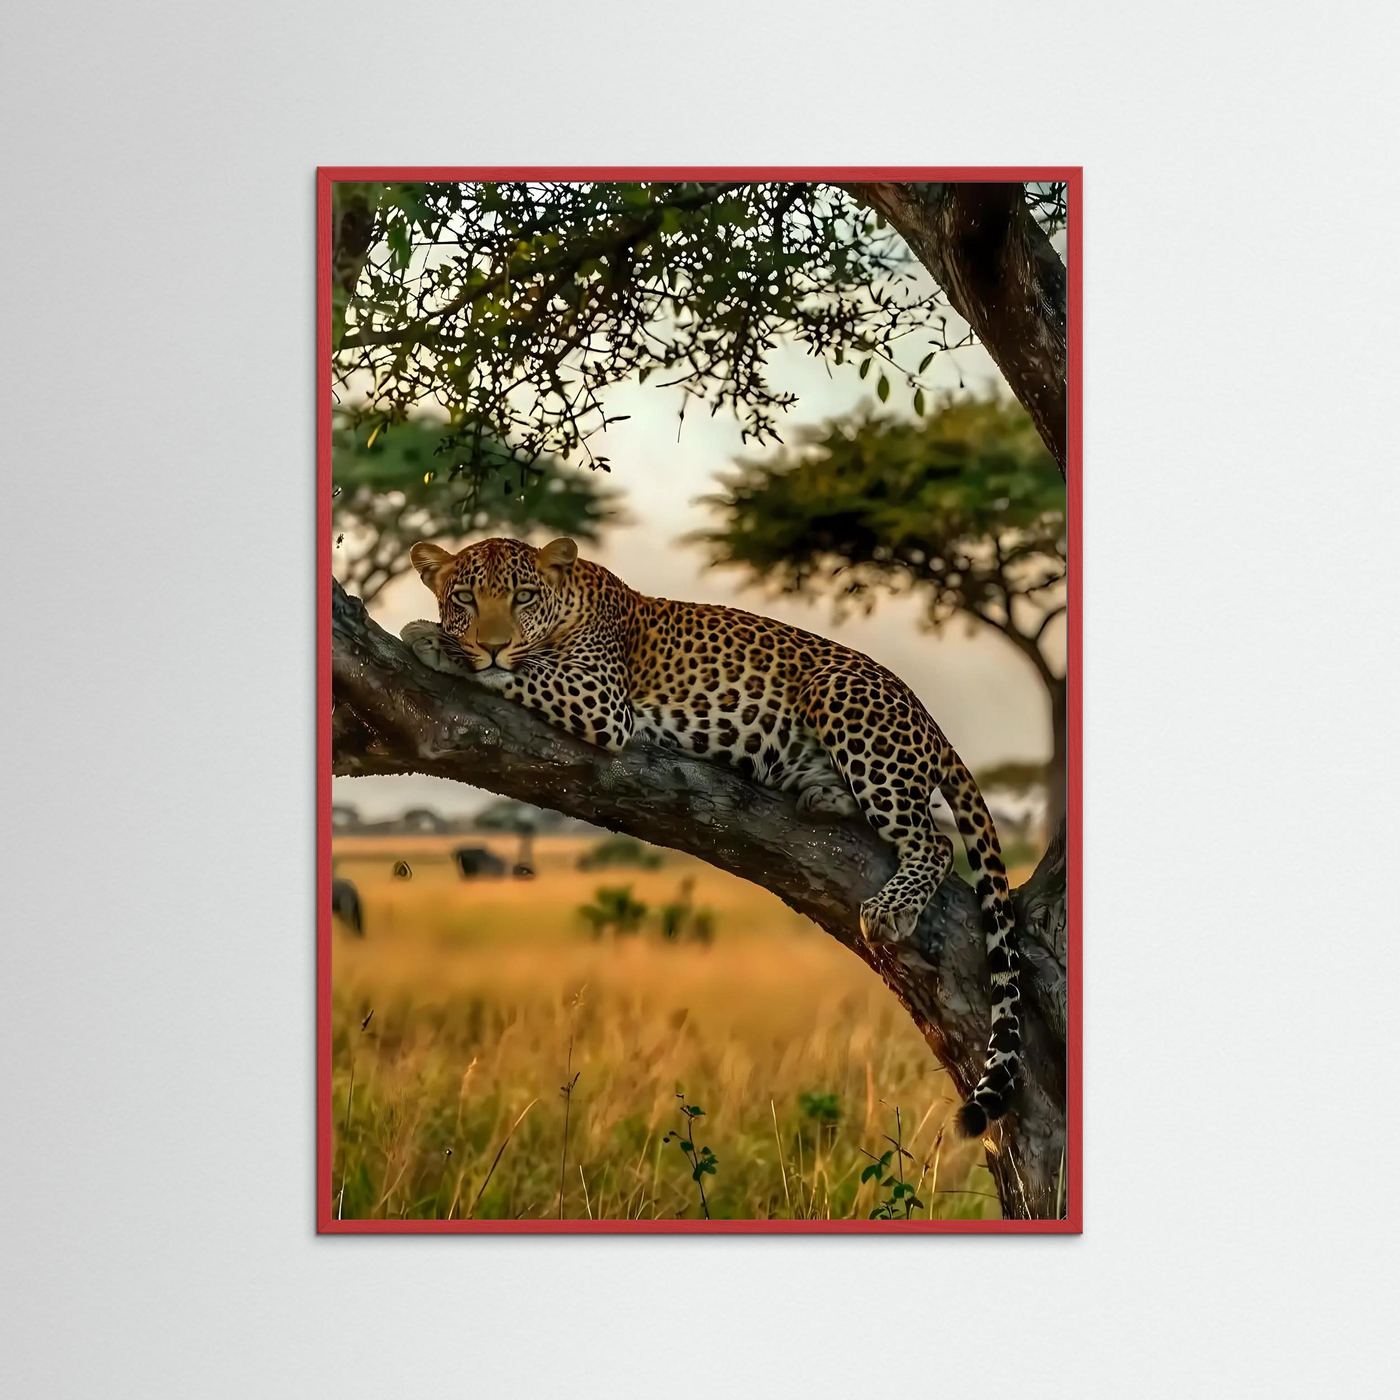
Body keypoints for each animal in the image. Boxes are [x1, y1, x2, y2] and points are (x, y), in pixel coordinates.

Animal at [401, 535, 1022, 1135]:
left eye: (523, 598)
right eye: (464, 599)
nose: (491, 643)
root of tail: (930, 720)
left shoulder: (600, 698)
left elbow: (522, 672)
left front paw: (433, 641)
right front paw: (449, 640)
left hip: (840, 695)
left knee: (935, 841)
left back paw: (892, 907)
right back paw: (822, 795)